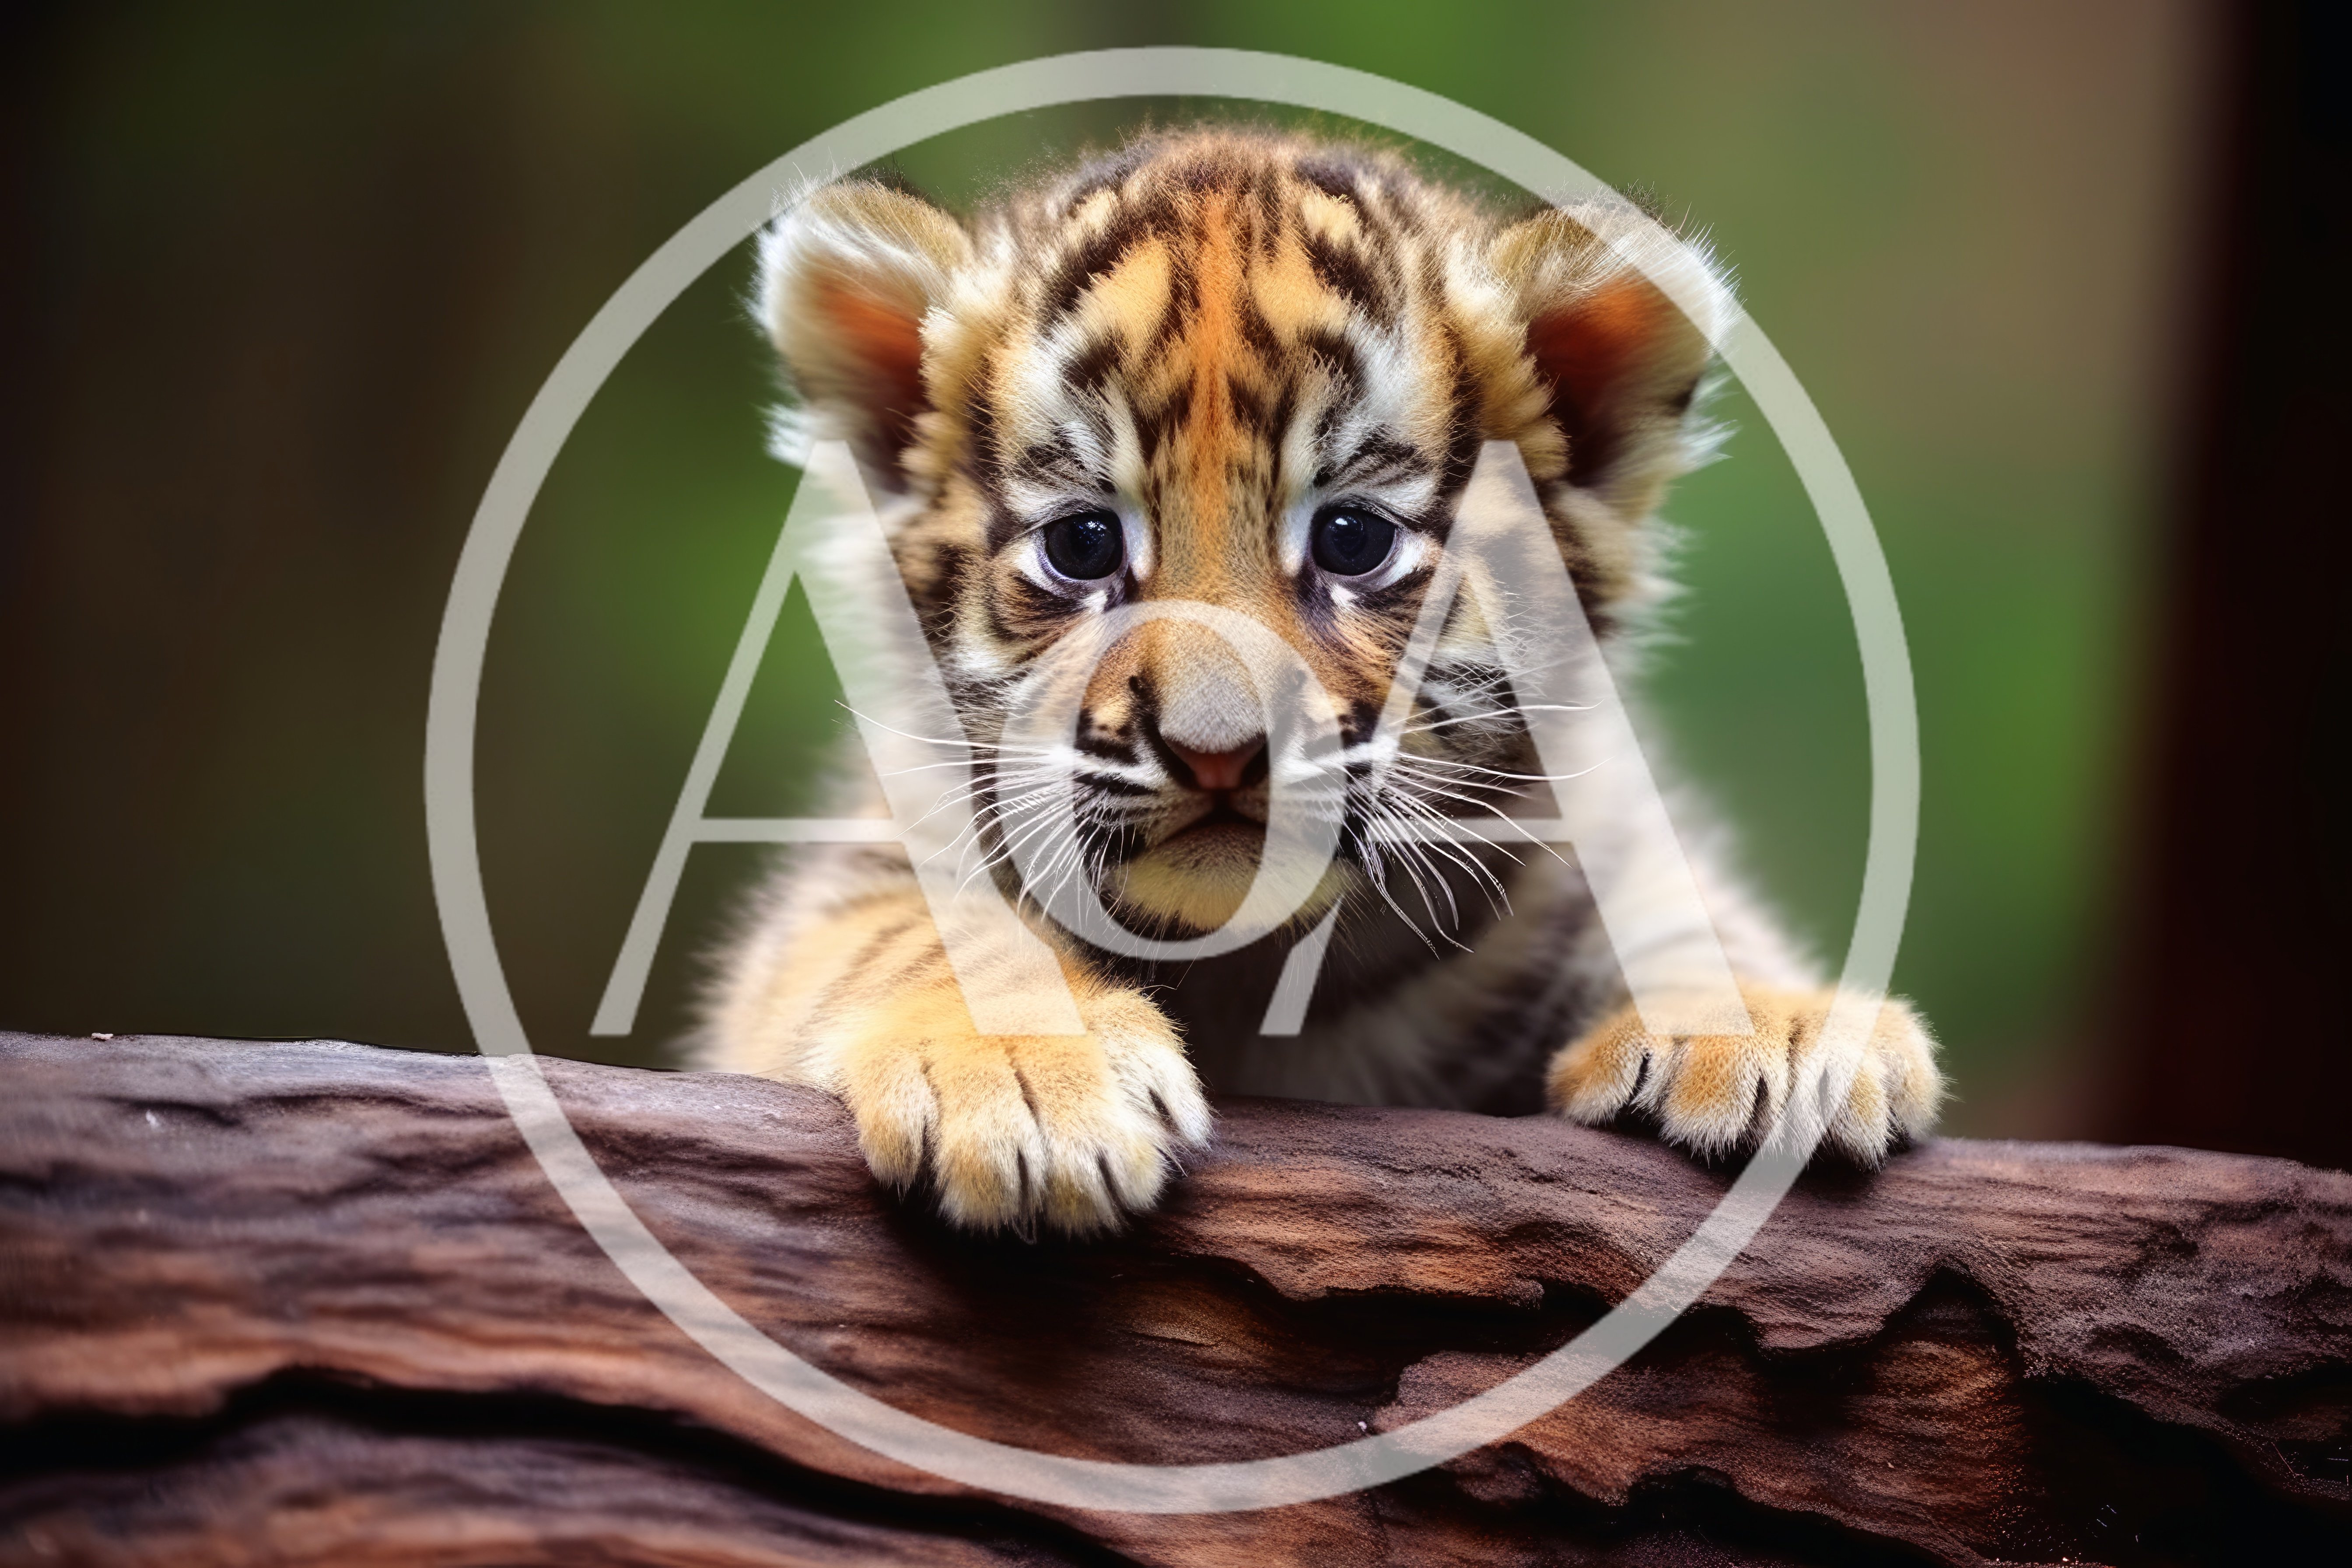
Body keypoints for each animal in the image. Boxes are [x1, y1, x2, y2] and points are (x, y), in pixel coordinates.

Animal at [697, 128, 1942, 1237]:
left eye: (1352, 539)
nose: (1213, 752)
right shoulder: (862, 864)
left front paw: (1783, 1031)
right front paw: (1028, 1078)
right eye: (1085, 547)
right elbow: (908, 927)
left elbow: (1682, 905)